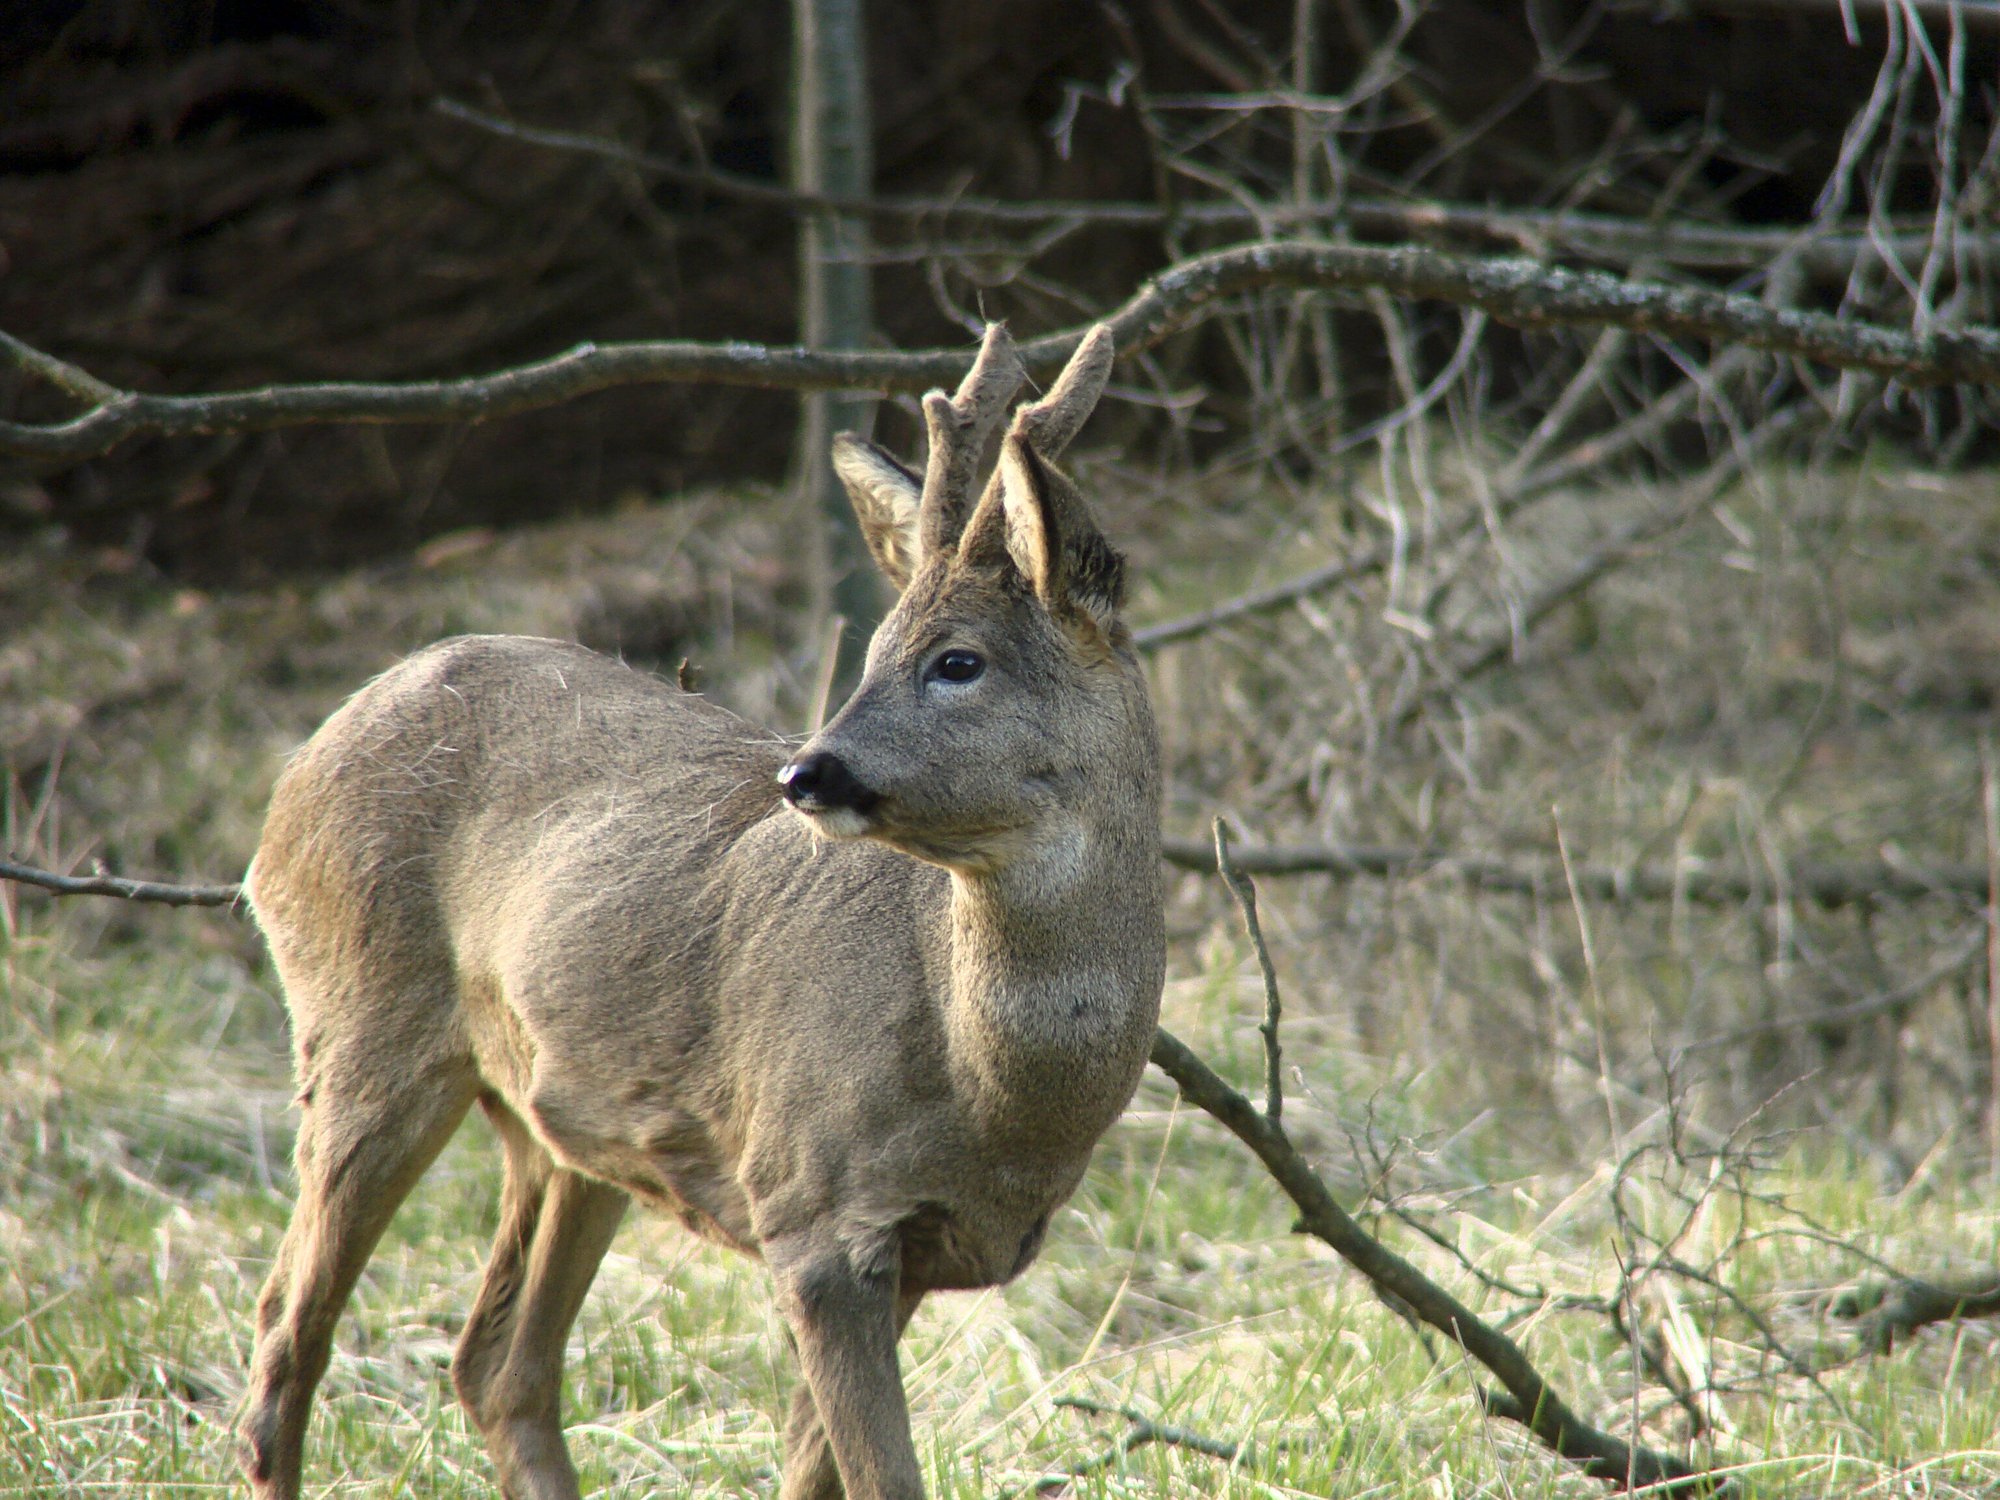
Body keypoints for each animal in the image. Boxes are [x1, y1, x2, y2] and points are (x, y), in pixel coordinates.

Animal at [236, 326, 1168, 1500]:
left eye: (958, 661)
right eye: (870, 653)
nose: (806, 771)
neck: (991, 1088)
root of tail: (303, 760)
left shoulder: (907, 1249)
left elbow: (815, 1475)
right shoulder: (814, 1216)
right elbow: (880, 1478)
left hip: (561, 1115)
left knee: (497, 1363)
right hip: (360, 1025)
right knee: (285, 1337)